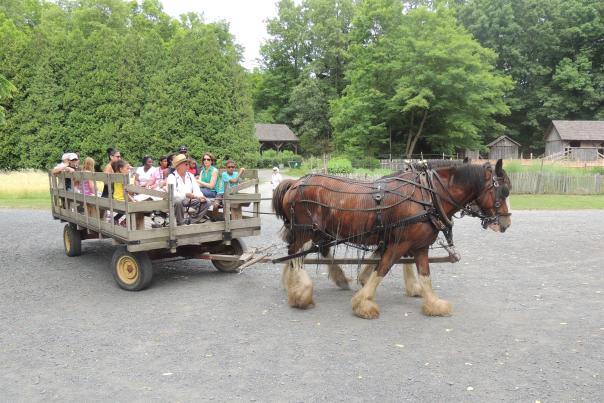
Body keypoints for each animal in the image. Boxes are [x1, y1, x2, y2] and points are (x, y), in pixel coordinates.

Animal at [272, 158, 512, 318]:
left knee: (305, 253)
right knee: (295, 255)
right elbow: (383, 268)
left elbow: (424, 274)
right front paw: (363, 303)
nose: (506, 224)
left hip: (317, 232)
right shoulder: (400, 243)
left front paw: (433, 303)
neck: (427, 196)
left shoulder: (419, 245)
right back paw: (301, 293)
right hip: (306, 231)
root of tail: (294, 183)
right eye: (504, 192)